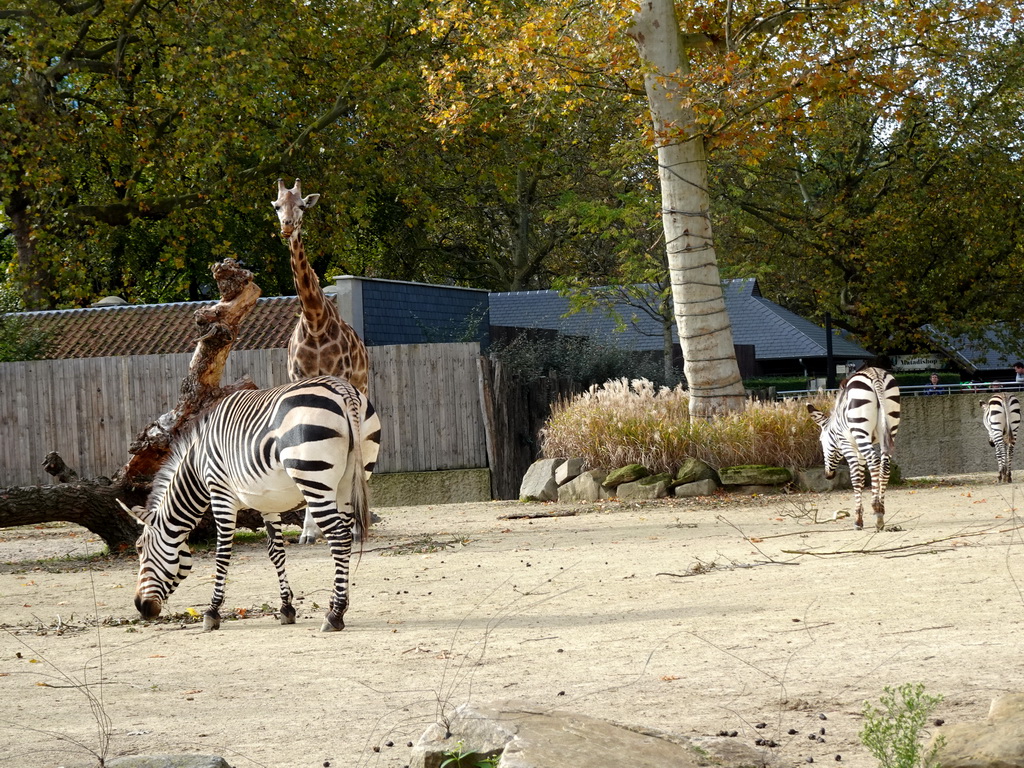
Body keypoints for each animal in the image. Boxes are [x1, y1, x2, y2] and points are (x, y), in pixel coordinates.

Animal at [124, 376, 380, 634]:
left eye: (139, 548)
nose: (140, 607)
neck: (197, 464)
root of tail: (344, 390)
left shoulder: (220, 494)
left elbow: (222, 552)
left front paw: (212, 612)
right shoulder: (269, 502)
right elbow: (276, 551)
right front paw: (286, 607)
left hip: (313, 477)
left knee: (339, 537)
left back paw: (335, 615)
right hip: (348, 482)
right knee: (344, 536)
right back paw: (335, 604)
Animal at [272, 177, 372, 544]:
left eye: (302, 206)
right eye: (277, 205)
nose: (287, 226)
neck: (315, 322)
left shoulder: (339, 378)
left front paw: (345, 524)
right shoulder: (298, 379)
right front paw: (307, 531)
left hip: (360, 385)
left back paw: (357, 524)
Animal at [802, 370, 901, 532]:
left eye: (821, 441)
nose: (828, 475)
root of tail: (875, 375)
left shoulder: (846, 443)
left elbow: (856, 477)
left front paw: (858, 520)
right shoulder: (858, 448)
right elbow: (861, 475)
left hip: (860, 427)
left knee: (874, 462)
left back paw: (877, 510)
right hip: (890, 427)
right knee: (884, 467)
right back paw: (881, 513)